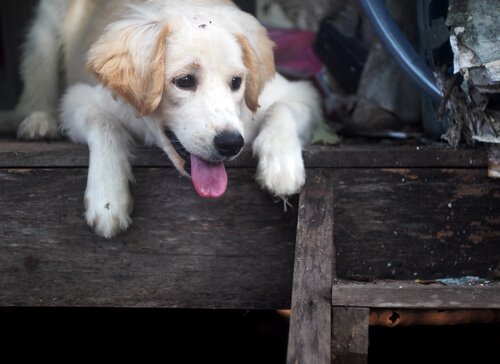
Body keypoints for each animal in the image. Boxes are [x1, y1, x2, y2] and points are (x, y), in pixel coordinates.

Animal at [0, 0, 320, 239]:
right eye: (185, 81)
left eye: (236, 82)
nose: (231, 144)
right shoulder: (79, 99)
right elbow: (105, 124)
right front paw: (108, 197)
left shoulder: (298, 94)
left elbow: (283, 107)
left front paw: (282, 166)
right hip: (47, 29)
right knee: (37, 79)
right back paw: (38, 121)